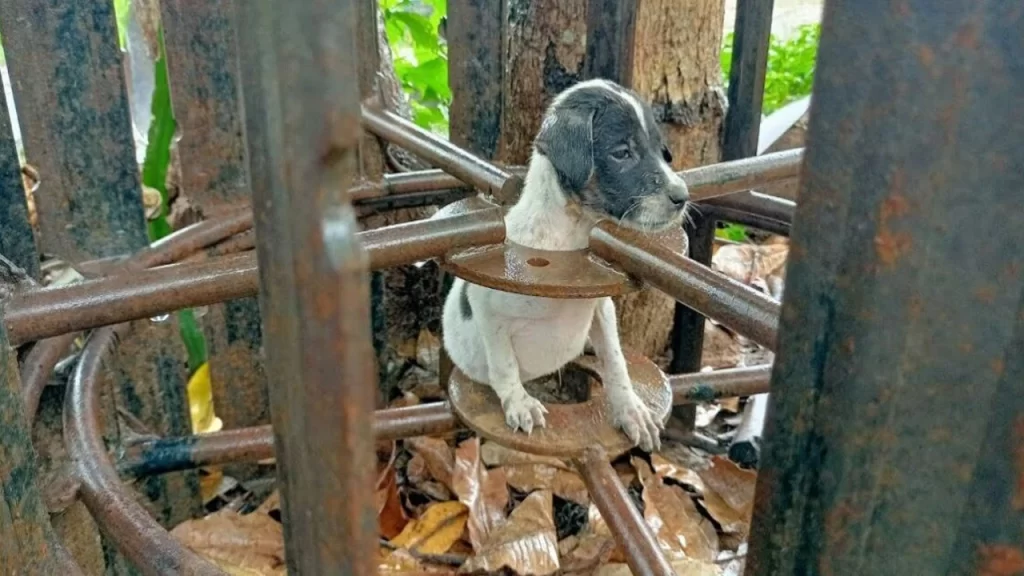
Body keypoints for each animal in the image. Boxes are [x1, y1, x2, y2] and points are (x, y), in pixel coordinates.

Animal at [440, 78, 688, 450]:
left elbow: (616, 360)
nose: (683, 198)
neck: (569, 235)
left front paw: (630, 409)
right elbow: (504, 362)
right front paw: (519, 402)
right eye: (621, 153)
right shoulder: (488, 306)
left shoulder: (601, 306)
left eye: (662, 151)